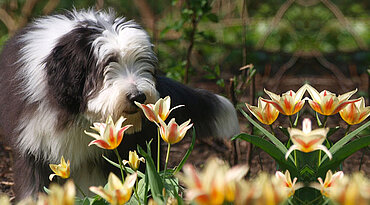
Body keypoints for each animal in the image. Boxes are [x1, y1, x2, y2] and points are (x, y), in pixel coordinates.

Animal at [0, 8, 238, 199]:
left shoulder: (120, 149)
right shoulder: (34, 147)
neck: (77, 114)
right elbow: (33, 187)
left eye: (142, 63)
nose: (138, 97)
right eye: (108, 64)